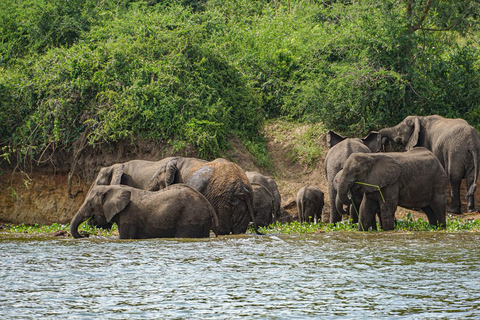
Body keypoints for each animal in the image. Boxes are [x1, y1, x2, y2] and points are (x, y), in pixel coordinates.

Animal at [70, 184, 219, 239]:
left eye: (90, 204)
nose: (85, 235)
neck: (113, 187)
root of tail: (207, 204)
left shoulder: (128, 216)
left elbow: (125, 237)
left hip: (190, 217)